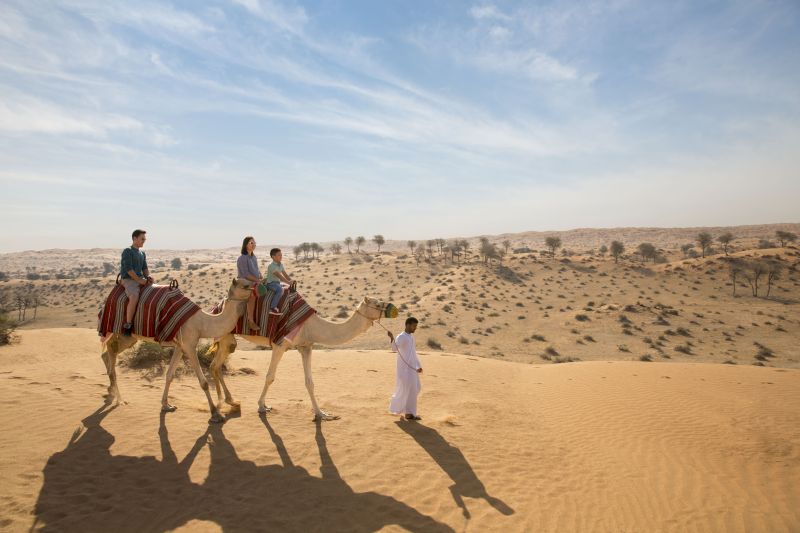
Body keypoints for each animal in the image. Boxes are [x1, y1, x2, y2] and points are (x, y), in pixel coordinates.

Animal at [100, 276, 252, 422]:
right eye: (246, 285)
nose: (256, 285)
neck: (202, 324)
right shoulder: (190, 346)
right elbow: (204, 383)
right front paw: (215, 414)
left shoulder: (180, 346)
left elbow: (169, 375)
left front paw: (166, 405)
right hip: (117, 329)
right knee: (111, 351)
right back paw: (119, 399)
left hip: (128, 338)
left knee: (108, 352)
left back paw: (111, 391)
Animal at [208, 296, 392, 420]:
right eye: (376, 304)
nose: (392, 308)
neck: (312, 326)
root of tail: (217, 306)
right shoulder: (280, 345)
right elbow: (270, 377)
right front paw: (261, 406)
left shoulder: (306, 347)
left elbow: (309, 382)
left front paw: (321, 413)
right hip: (225, 334)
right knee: (215, 365)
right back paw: (221, 406)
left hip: (227, 340)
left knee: (215, 365)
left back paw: (229, 401)